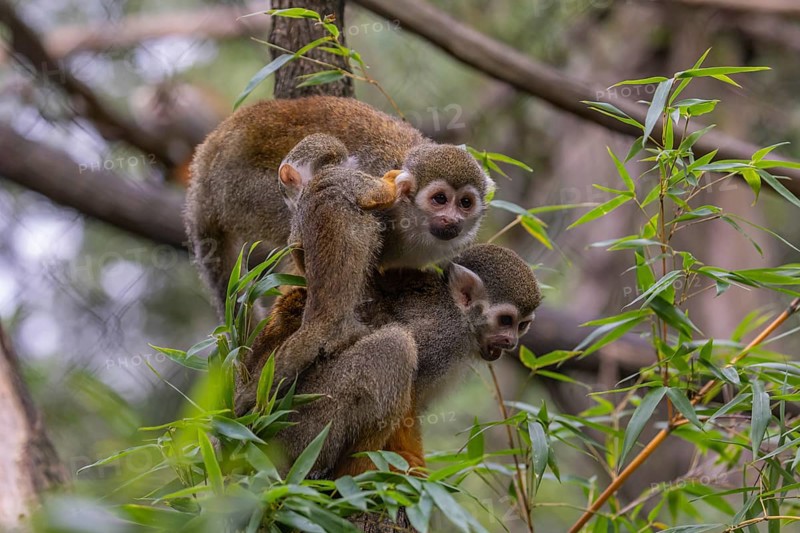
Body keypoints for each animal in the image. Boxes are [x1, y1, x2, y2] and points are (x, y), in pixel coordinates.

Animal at [184, 96, 494, 317]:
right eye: (440, 199)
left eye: (465, 203)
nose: (452, 220)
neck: (412, 226)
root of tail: (204, 161)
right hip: (243, 190)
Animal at [235, 243, 542, 479]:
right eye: (505, 321)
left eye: (522, 326)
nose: (510, 342)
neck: (461, 317)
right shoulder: (441, 336)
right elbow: (410, 396)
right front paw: (411, 459)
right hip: (298, 428)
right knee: (395, 346)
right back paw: (357, 468)